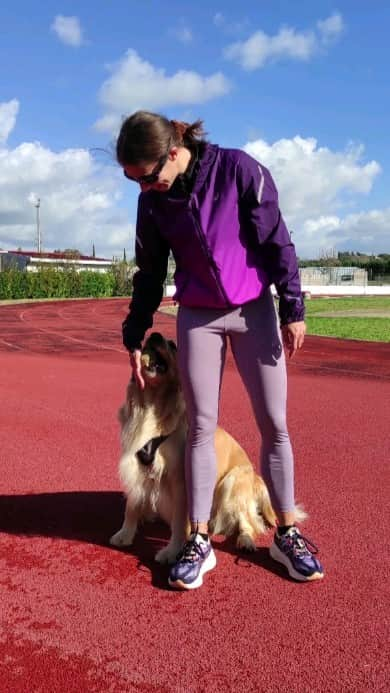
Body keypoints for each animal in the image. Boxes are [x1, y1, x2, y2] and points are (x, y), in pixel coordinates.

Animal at [109, 330, 278, 564]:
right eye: (146, 341)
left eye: (173, 345)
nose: (154, 335)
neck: (151, 405)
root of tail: (256, 476)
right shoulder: (136, 466)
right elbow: (131, 506)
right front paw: (124, 534)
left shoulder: (181, 480)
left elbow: (180, 522)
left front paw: (172, 551)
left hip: (231, 482)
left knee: (249, 523)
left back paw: (245, 541)